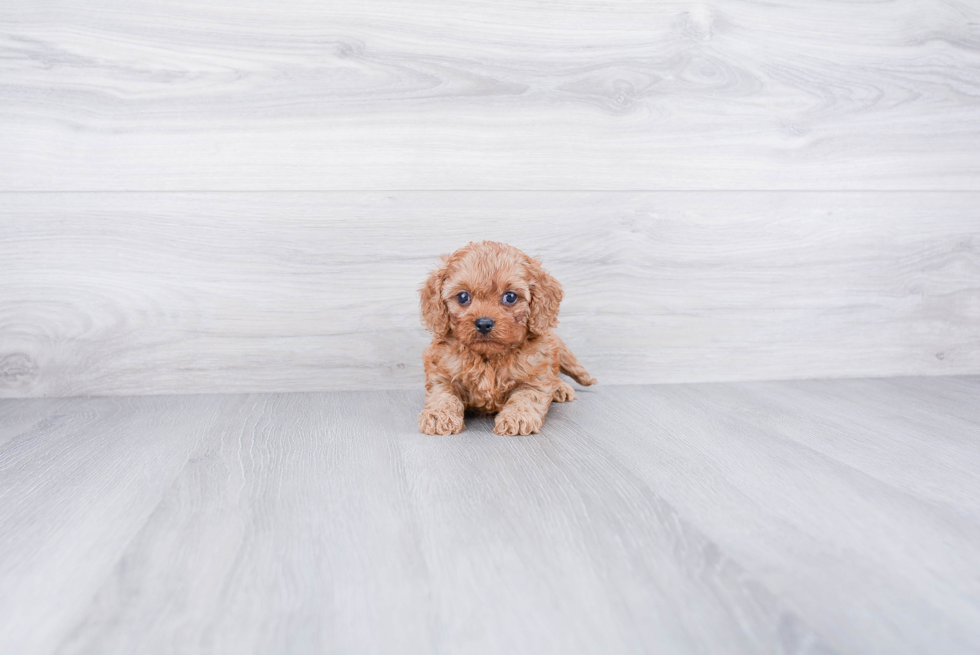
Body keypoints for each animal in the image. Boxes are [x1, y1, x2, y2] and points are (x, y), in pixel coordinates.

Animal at [416, 241, 592, 436]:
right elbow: (443, 394)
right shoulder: (441, 372)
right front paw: (439, 415)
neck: (488, 357)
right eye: (463, 297)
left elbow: (527, 396)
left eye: (510, 297)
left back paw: (561, 388)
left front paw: (518, 417)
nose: (484, 323)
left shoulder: (535, 376)